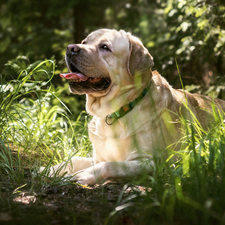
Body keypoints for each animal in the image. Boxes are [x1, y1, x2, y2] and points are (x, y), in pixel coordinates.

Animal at [40, 29, 225, 185]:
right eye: (84, 42)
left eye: (105, 47)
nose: (70, 48)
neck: (114, 112)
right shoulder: (97, 157)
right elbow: (75, 159)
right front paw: (48, 169)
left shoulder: (151, 162)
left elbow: (109, 165)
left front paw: (80, 175)